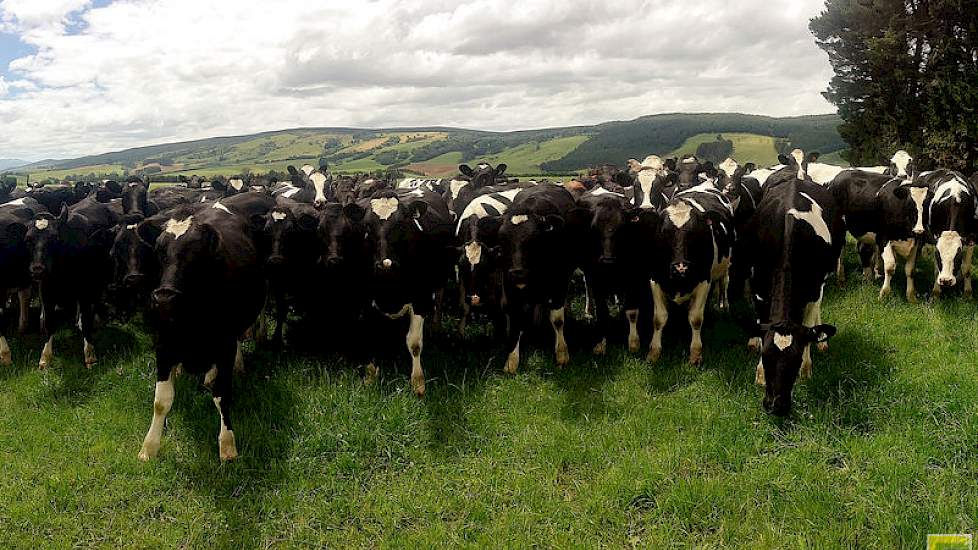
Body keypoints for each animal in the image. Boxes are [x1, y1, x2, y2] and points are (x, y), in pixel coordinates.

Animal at [24, 194, 117, 370]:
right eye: (28, 239)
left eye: (54, 238)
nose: (37, 269)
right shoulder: (46, 294)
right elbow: (49, 323)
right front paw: (45, 357)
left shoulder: (86, 292)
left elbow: (87, 322)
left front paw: (90, 356)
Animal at [136, 205, 266, 464]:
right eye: (158, 251)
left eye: (195, 253)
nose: (164, 297)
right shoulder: (163, 344)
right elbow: (161, 401)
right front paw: (149, 447)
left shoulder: (224, 344)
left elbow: (222, 395)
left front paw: (227, 445)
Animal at [496, 185, 580, 376]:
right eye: (503, 239)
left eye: (534, 239)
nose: (518, 273)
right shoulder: (508, 284)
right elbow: (515, 317)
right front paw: (511, 360)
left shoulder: (560, 282)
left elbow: (557, 319)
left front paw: (561, 354)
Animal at [648, 183, 732, 366]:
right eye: (664, 232)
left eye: (695, 232)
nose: (681, 267)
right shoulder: (655, 280)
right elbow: (659, 318)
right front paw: (654, 352)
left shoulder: (704, 282)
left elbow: (695, 318)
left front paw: (695, 354)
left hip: (726, 265)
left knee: (724, 283)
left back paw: (724, 306)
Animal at [744, 162, 844, 416]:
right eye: (766, 356)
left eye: (795, 360)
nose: (776, 406)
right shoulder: (758, 285)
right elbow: (762, 322)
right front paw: (760, 374)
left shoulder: (815, 286)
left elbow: (808, 325)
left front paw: (807, 369)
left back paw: (822, 341)